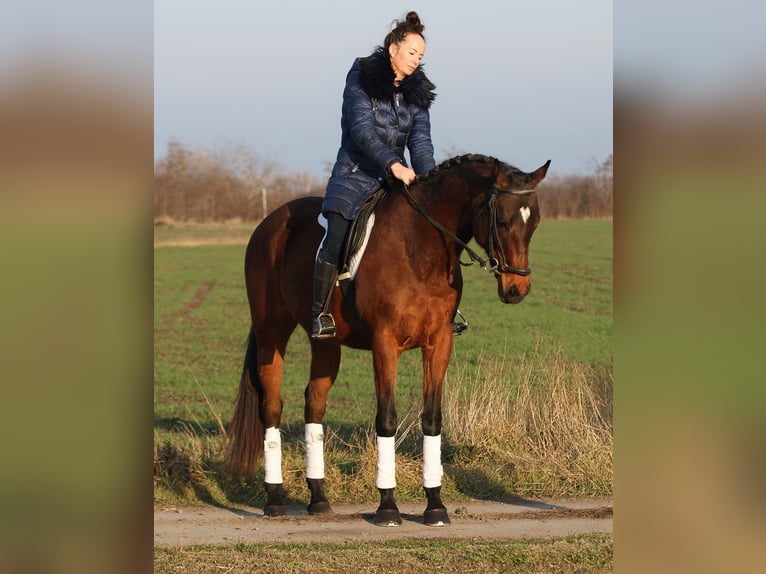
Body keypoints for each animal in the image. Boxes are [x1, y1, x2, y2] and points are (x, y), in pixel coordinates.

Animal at [228, 153, 552, 528]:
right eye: (501, 220)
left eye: (535, 222)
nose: (517, 289)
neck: (420, 248)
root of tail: (270, 221)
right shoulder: (385, 344)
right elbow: (386, 418)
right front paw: (388, 506)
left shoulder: (439, 344)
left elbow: (432, 419)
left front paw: (435, 505)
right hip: (271, 333)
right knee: (271, 406)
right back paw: (275, 499)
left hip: (325, 344)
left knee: (314, 404)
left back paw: (319, 498)